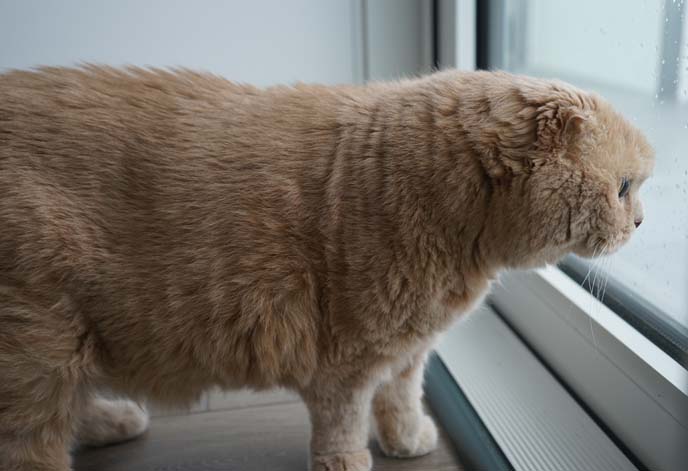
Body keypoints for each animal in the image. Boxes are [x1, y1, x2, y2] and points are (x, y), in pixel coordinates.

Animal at [0, 67, 656, 471]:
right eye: (624, 188)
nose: (643, 223)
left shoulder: (406, 349)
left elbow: (401, 397)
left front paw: (407, 440)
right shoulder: (346, 359)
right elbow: (343, 424)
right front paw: (350, 462)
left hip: (68, 343)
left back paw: (114, 420)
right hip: (40, 347)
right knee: (32, 440)